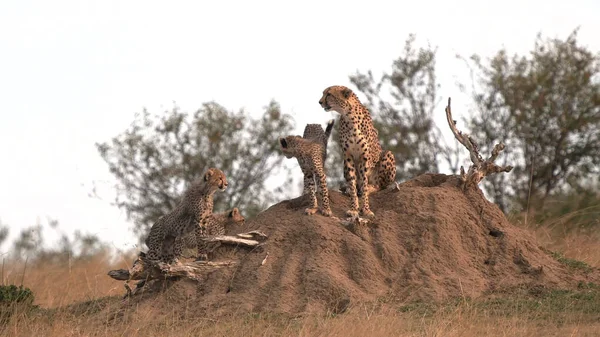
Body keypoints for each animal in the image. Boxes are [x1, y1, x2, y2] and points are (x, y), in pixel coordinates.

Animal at [316, 83, 396, 215]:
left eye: (329, 94)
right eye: (323, 93)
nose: (320, 102)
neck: (349, 116)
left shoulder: (364, 158)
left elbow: (364, 183)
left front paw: (366, 209)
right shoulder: (348, 156)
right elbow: (353, 183)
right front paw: (354, 209)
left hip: (387, 155)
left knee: (380, 185)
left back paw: (372, 187)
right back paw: (348, 189)